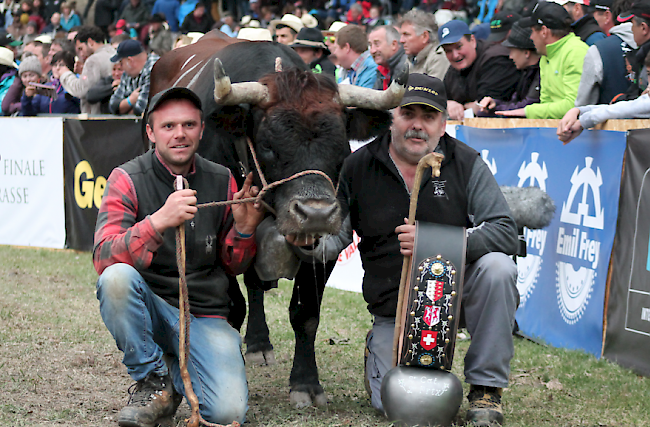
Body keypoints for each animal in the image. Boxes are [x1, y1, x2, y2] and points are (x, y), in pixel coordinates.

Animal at [149, 30, 408, 408]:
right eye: (269, 145)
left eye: (342, 146)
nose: (316, 213)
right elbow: (231, 305)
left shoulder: (323, 247)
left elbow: (306, 315)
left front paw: (306, 383)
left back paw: (259, 343)